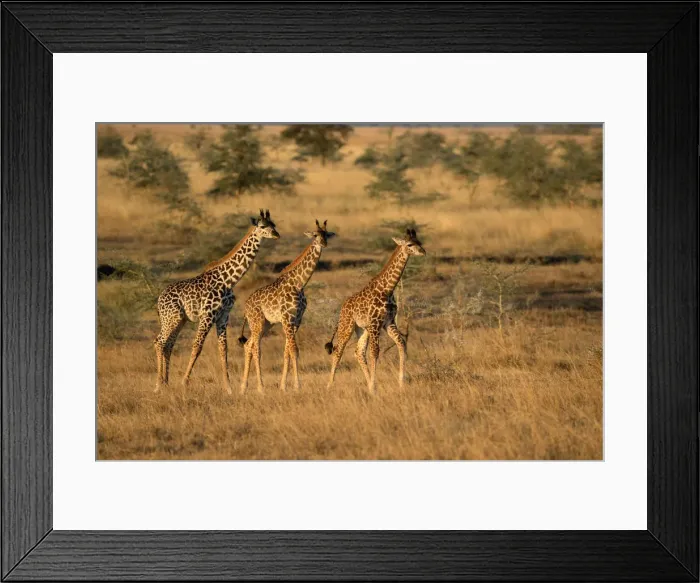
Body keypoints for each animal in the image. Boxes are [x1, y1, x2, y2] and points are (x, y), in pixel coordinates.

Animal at [154, 209, 280, 394]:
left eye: (274, 224)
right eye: (263, 226)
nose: (277, 234)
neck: (229, 279)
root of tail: (159, 299)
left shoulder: (223, 315)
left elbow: (223, 349)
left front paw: (229, 387)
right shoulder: (207, 314)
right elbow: (197, 346)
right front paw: (184, 382)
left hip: (179, 320)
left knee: (168, 344)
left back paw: (165, 383)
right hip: (172, 317)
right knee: (160, 342)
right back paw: (158, 385)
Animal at [238, 220, 335, 393]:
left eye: (326, 234)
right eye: (315, 235)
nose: (323, 243)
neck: (299, 283)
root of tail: (245, 308)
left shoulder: (296, 320)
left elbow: (287, 352)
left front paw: (283, 386)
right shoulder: (287, 318)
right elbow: (294, 350)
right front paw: (297, 385)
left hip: (267, 324)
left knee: (249, 345)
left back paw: (244, 387)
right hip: (257, 322)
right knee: (255, 347)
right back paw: (260, 387)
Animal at [325, 228, 425, 393]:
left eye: (419, 242)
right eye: (410, 244)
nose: (423, 251)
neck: (387, 289)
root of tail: (342, 308)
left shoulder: (388, 322)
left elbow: (401, 343)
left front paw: (400, 383)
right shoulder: (375, 323)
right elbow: (375, 351)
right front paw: (374, 386)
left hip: (362, 329)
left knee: (358, 352)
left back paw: (368, 384)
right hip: (347, 326)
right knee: (338, 350)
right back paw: (329, 385)